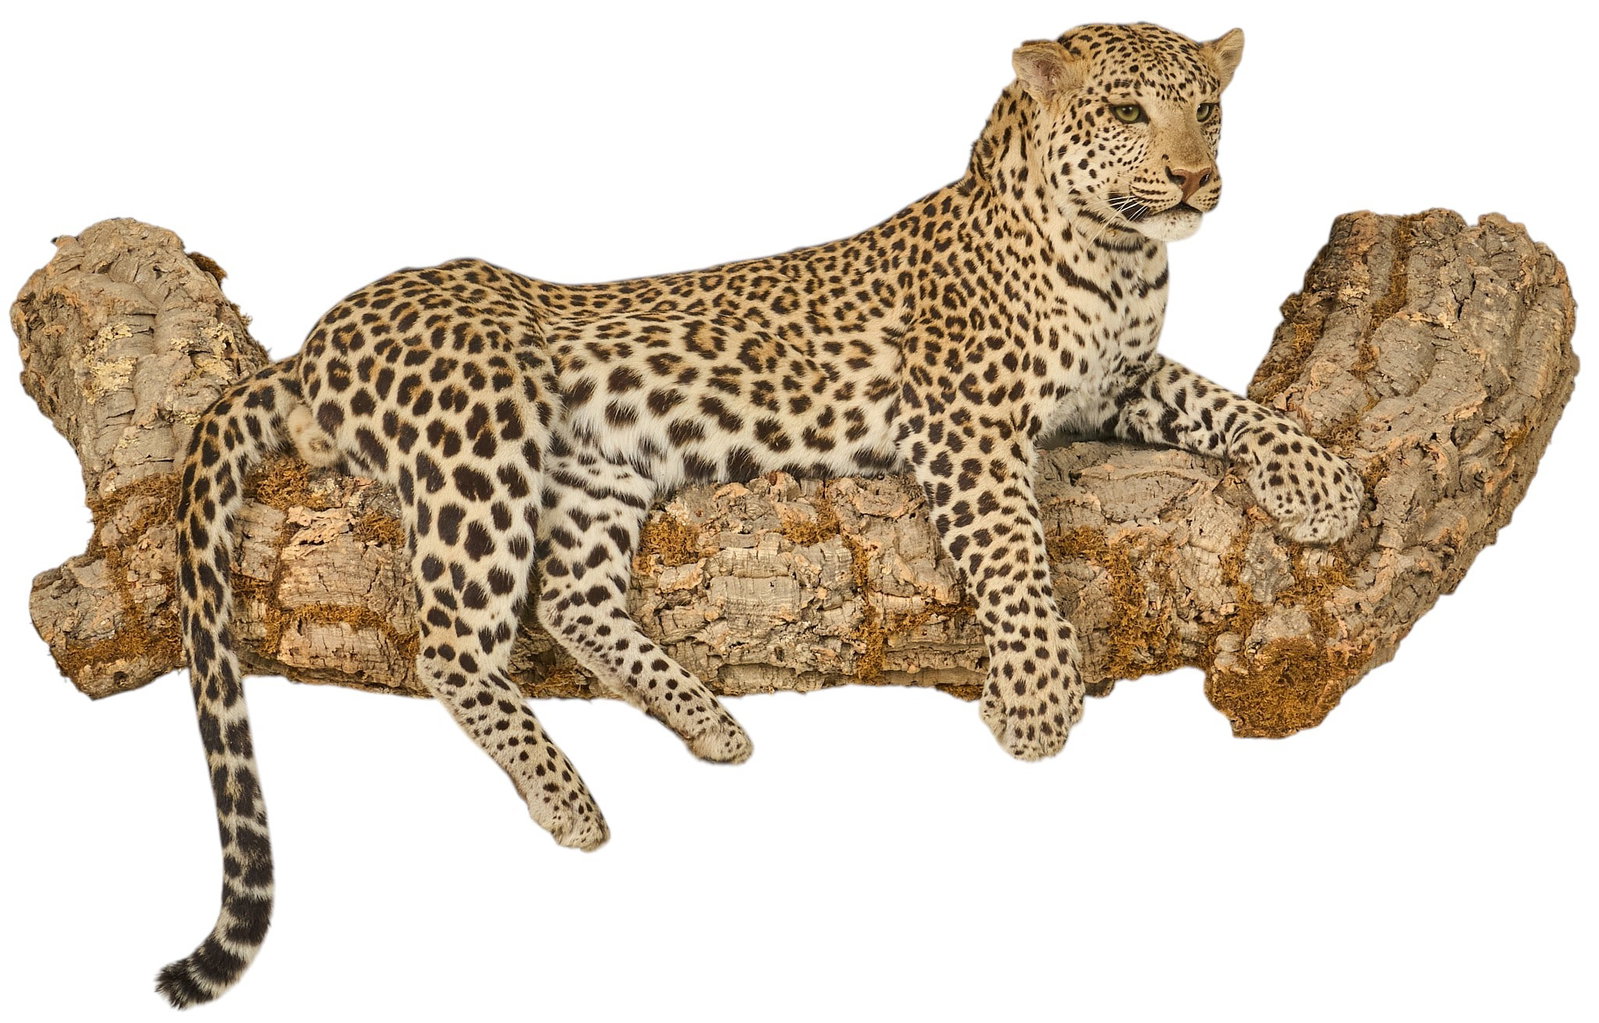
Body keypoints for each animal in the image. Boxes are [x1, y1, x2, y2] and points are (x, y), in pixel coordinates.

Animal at [156, 22, 1363, 1006]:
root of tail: (313, 344)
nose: (1197, 179)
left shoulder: (1119, 386)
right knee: (450, 644)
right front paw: (1035, 700)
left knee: (570, 601)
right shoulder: (963, 424)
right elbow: (1014, 554)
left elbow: (1224, 402)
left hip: (596, 473)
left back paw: (707, 720)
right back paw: (570, 800)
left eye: (1209, 109)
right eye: (1125, 114)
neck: (1119, 259)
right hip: (480, 434)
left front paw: (1325, 483)